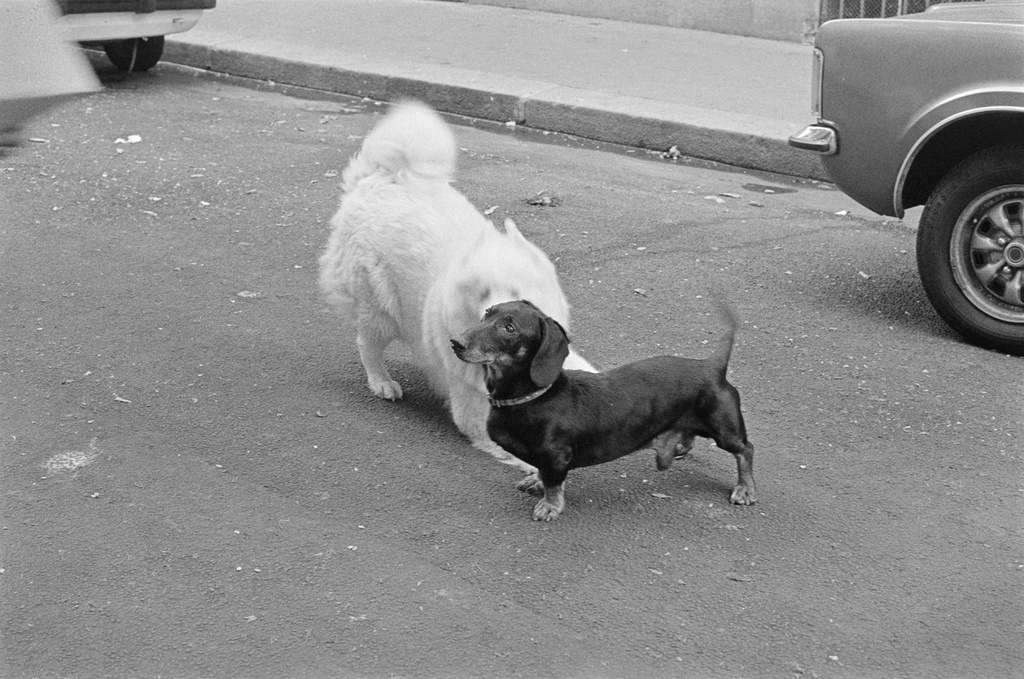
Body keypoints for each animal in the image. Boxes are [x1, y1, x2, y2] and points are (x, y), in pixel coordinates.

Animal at [317, 102, 593, 473]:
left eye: (516, 290)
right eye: (484, 298)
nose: (506, 321)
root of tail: (381, 178)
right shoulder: (477, 413)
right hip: (380, 309)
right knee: (368, 344)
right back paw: (381, 382)